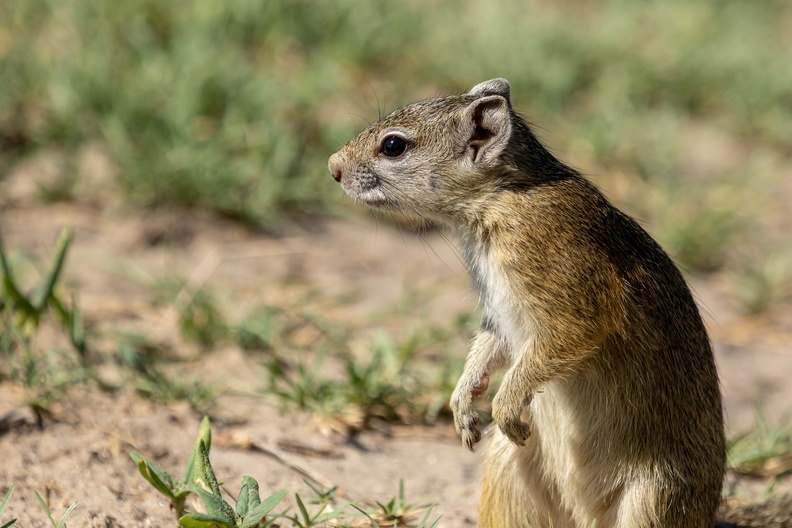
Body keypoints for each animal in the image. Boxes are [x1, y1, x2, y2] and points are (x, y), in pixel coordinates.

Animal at [328, 79, 792, 527]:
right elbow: (486, 352)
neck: (501, 199)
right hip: (507, 472)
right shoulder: (499, 317)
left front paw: (502, 406)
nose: (333, 167)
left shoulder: (572, 304)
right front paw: (462, 404)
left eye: (393, 145)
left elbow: (554, 348)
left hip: (654, 500)